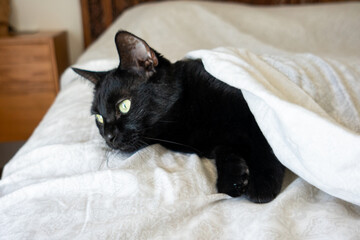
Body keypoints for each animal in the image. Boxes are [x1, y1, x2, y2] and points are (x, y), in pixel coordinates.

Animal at [74, 30, 286, 202]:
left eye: (124, 105)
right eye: (99, 118)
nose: (108, 136)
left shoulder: (252, 106)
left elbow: (266, 141)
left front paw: (262, 184)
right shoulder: (218, 142)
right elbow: (226, 151)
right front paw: (233, 179)